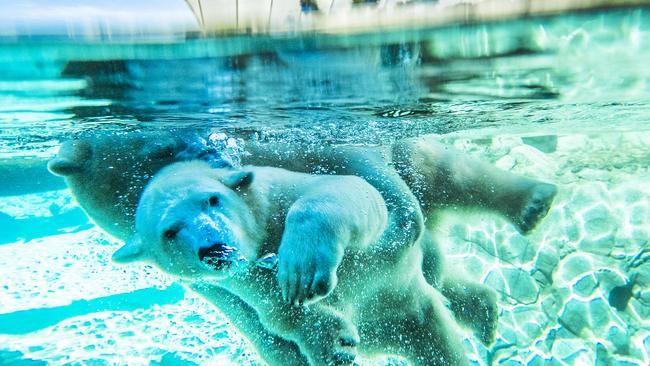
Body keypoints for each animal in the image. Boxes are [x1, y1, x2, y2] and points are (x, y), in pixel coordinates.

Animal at [111, 161, 468, 366]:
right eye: (170, 232)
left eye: (212, 199)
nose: (213, 246)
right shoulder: (243, 278)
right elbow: (277, 310)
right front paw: (334, 343)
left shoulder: (283, 191)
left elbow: (350, 190)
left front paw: (302, 268)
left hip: (410, 308)